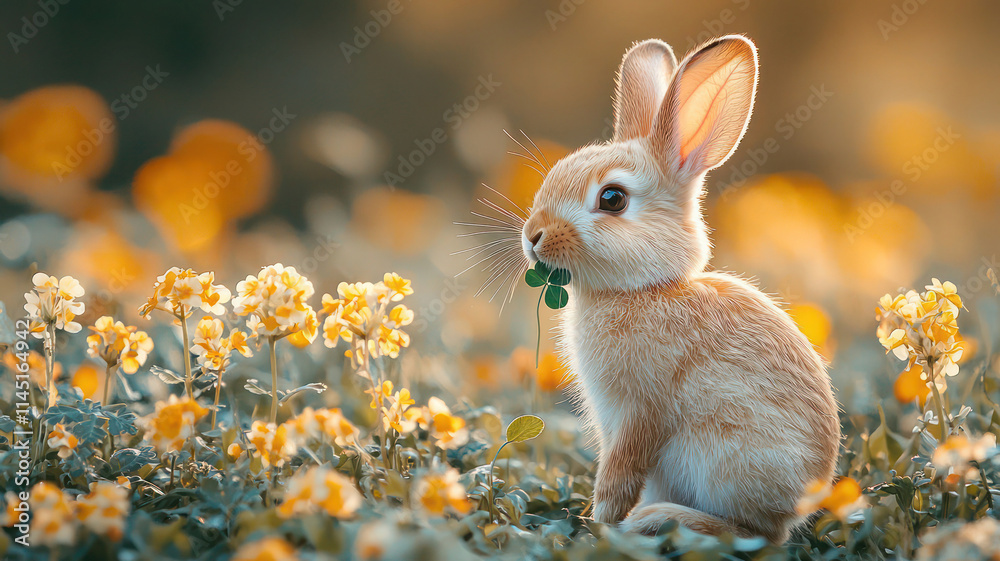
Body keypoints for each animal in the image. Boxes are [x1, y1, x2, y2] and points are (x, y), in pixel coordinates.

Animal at [520, 36, 840, 544]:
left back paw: (657, 520)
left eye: (612, 198)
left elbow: (620, 472)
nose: (532, 236)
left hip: (721, 459)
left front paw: (601, 522)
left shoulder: (640, 411)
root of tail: (798, 507)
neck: (644, 289)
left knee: (751, 533)